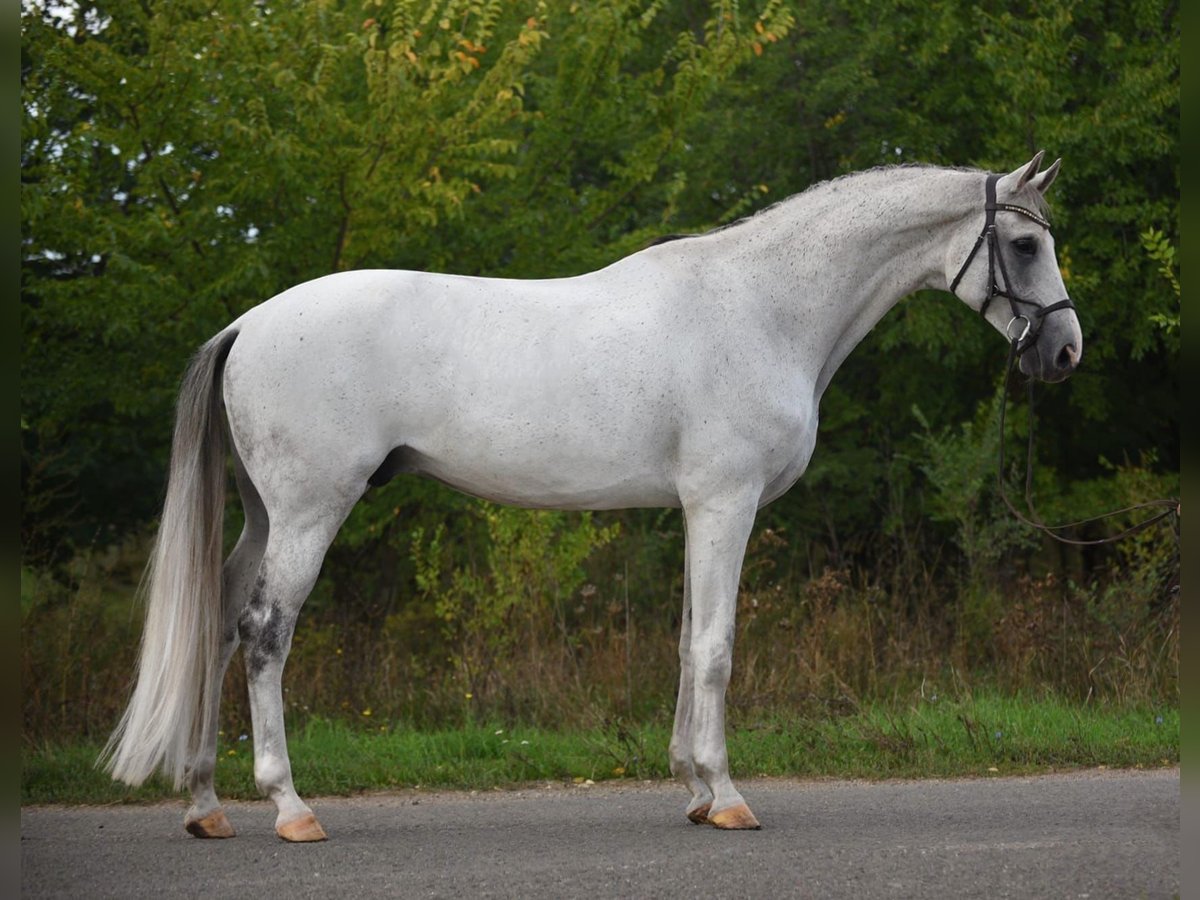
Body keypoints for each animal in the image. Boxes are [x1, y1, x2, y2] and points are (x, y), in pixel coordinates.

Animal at [103, 153, 1080, 840]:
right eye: (1025, 244)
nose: (1064, 351)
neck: (761, 306)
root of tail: (249, 323)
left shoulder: (695, 511)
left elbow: (686, 643)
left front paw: (693, 789)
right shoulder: (725, 504)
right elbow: (717, 648)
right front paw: (728, 794)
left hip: (263, 515)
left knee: (218, 623)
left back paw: (205, 805)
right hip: (309, 511)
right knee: (266, 632)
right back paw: (289, 807)